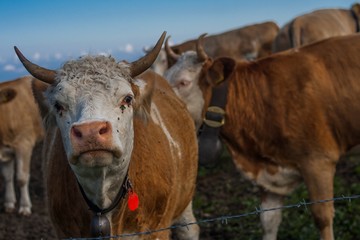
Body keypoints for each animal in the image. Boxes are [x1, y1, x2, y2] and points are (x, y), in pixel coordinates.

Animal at [0, 76, 44, 216]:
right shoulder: (5, 151)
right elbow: (7, 176)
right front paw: (9, 203)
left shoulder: (24, 144)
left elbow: (21, 178)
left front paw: (25, 207)